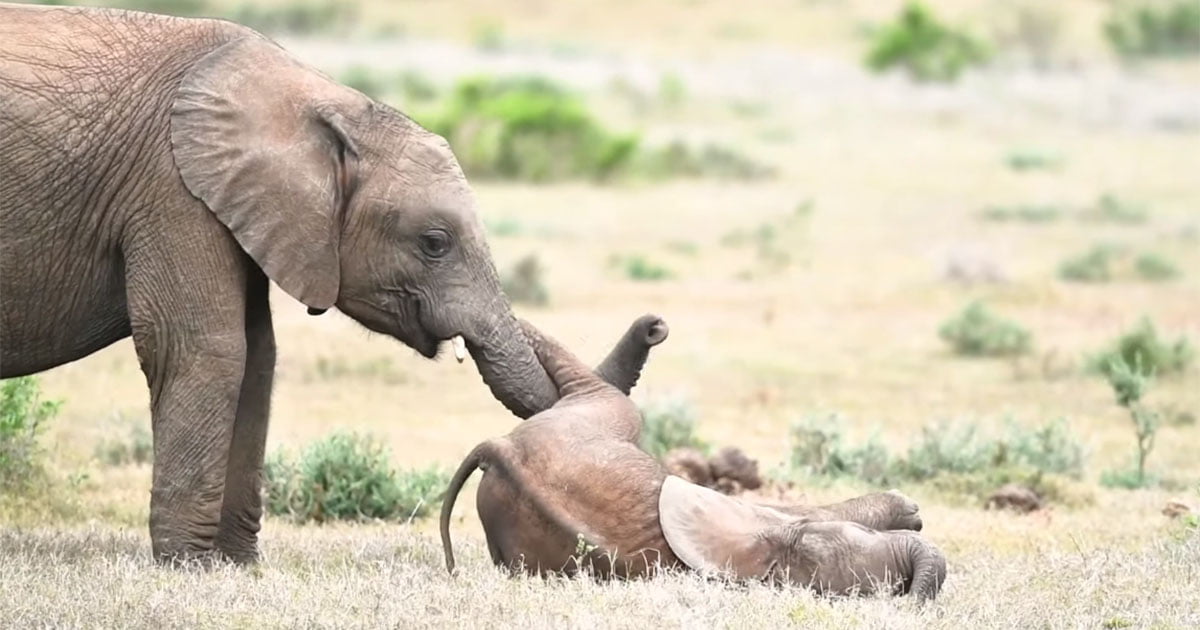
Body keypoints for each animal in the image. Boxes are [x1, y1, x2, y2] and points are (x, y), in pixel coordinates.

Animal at [0, 3, 567, 564]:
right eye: (434, 242)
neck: (320, 104)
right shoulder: (172, 188)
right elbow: (203, 348)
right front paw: (187, 565)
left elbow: (257, 357)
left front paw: (235, 565)